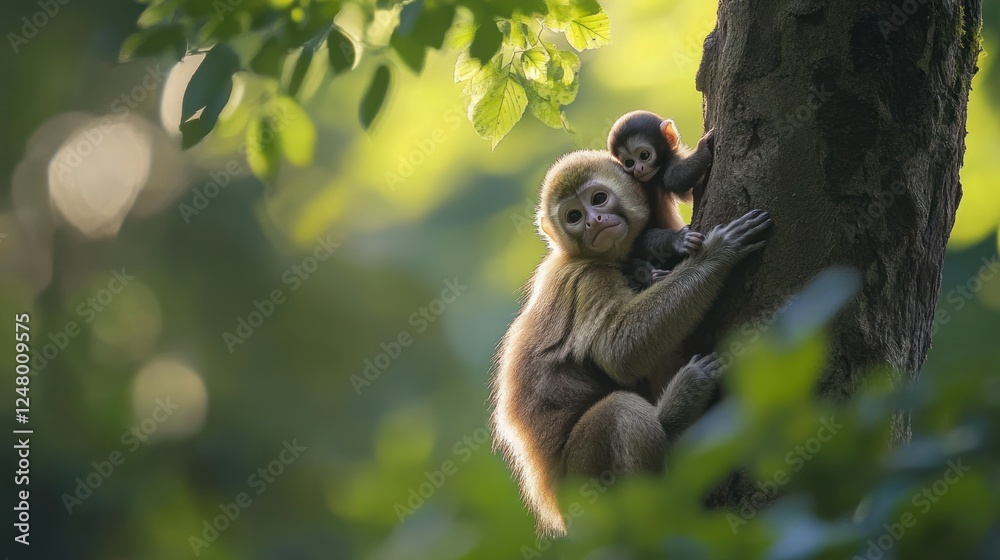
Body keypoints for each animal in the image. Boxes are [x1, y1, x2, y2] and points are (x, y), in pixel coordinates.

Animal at [489, 150, 772, 537]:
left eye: (598, 199)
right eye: (573, 216)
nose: (593, 221)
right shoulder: (588, 278)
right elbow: (619, 352)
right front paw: (717, 253)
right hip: (588, 483)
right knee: (620, 412)